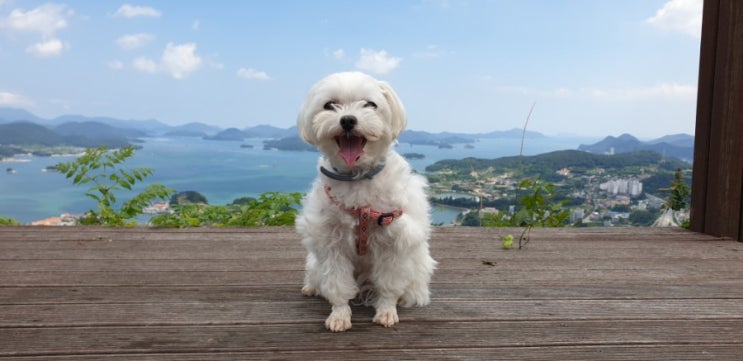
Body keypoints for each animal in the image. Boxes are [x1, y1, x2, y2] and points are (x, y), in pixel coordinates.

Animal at [296, 71, 436, 330]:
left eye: (370, 104)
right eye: (329, 105)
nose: (348, 120)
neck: (358, 178)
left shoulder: (394, 237)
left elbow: (389, 283)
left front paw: (387, 311)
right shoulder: (331, 241)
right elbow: (337, 284)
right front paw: (339, 315)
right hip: (314, 262)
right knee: (315, 274)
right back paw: (310, 286)